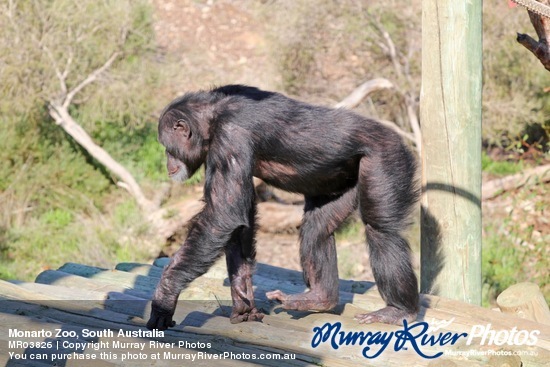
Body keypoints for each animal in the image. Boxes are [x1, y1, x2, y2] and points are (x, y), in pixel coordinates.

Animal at [144, 85, 420, 332]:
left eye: (167, 147)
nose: (167, 163)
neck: (212, 118)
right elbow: (238, 218)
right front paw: (243, 301)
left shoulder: (230, 137)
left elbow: (223, 215)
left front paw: (165, 296)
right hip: (343, 182)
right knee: (317, 229)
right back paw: (319, 297)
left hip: (386, 157)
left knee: (381, 231)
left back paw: (398, 310)